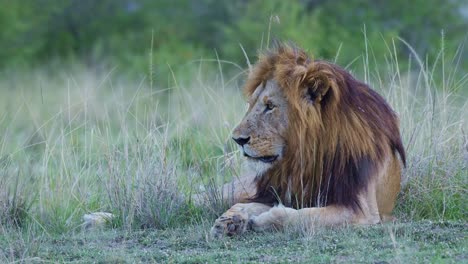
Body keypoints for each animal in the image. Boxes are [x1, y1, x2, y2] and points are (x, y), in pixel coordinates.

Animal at [212, 43, 406, 237]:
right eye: (251, 104)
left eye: (270, 106)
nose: (238, 139)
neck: (309, 156)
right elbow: (248, 205)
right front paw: (230, 219)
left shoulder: (362, 210)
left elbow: (303, 216)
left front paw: (262, 220)